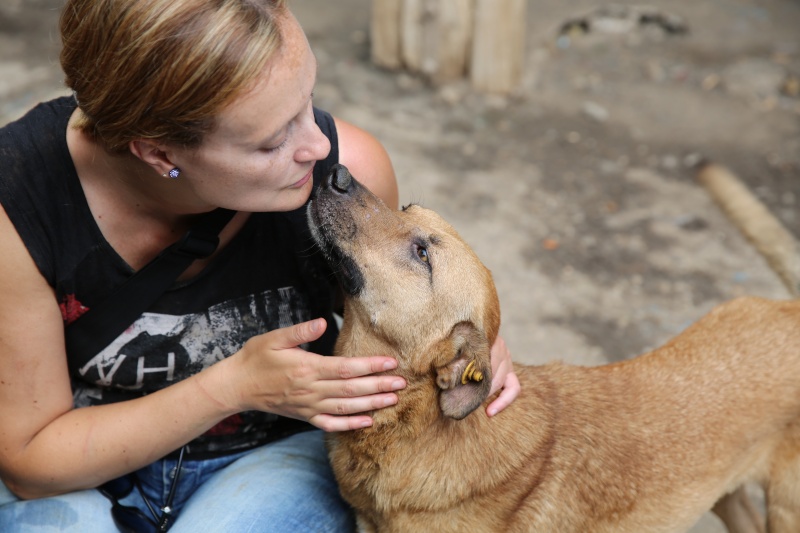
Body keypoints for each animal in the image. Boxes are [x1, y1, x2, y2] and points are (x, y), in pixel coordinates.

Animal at [308, 164, 800, 528]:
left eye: (423, 254)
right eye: (406, 207)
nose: (337, 171)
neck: (417, 426)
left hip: (784, 508)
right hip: (724, 491)